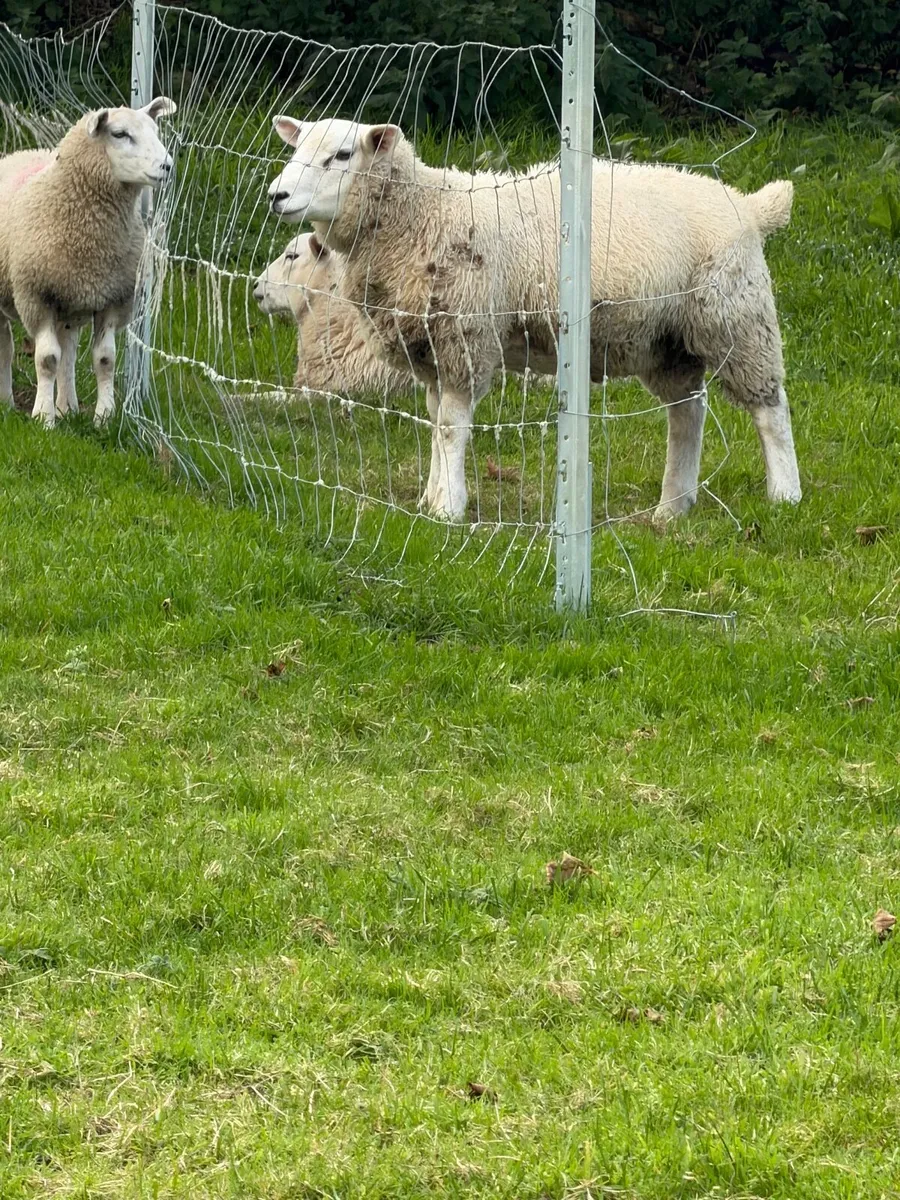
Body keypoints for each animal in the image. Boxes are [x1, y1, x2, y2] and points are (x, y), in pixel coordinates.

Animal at [0, 97, 176, 428]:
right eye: (120, 134)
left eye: (156, 131)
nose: (167, 166)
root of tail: (18, 154)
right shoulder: (36, 295)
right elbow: (46, 359)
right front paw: (43, 418)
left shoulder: (112, 298)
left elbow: (104, 359)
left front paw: (103, 417)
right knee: (6, 345)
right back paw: (7, 401)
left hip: (72, 302)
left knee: (68, 349)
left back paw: (66, 406)